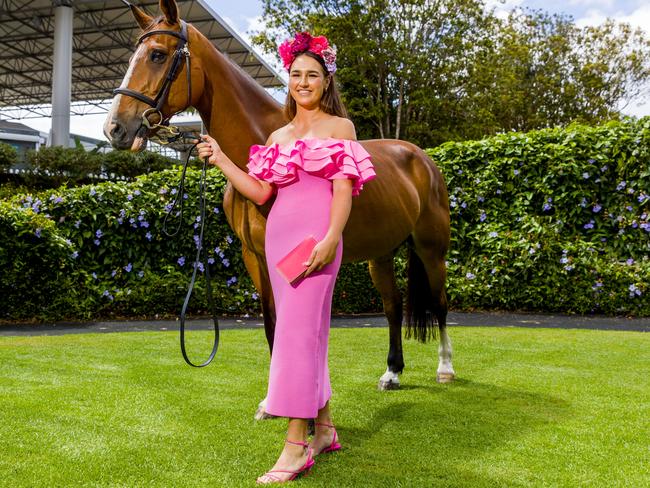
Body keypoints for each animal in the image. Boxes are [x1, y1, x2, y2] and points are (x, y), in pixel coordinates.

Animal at [104, 0, 454, 416]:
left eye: (157, 54)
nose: (115, 128)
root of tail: (421, 159)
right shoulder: (254, 256)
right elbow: (271, 322)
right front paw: (272, 401)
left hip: (432, 249)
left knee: (440, 303)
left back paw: (445, 369)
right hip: (380, 253)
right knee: (393, 305)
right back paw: (392, 373)